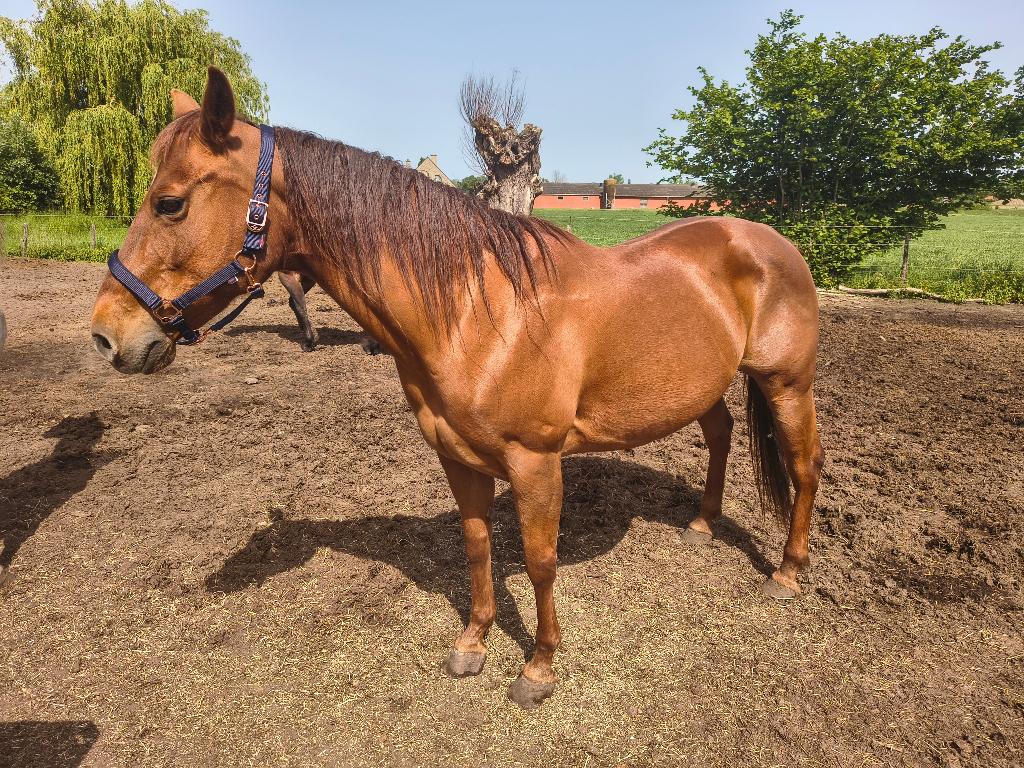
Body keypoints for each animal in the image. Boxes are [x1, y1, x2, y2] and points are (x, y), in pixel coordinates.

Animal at [90, 68, 824, 709]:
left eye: (170, 203)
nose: (106, 335)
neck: (476, 312)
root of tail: (768, 238)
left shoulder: (536, 462)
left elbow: (540, 560)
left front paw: (538, 669)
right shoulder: (457, 457)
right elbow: (476, 547)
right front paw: (472, 646)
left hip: (788, 383)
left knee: (803, 467)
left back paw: (788, 573)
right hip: (706, 386)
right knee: (722, 434)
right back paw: (701, 524)